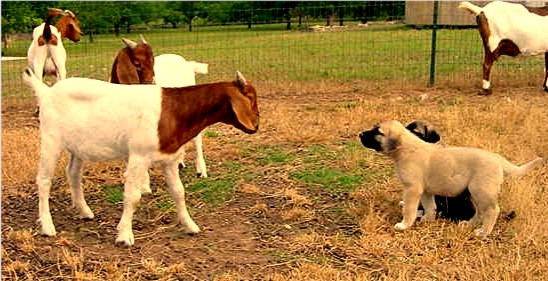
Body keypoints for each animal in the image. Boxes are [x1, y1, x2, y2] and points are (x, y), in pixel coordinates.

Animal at [22, 66, 260, 245]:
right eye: (251, 98)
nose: (256, 125)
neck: (174, 111)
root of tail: (46, 92)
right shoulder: (138, 156)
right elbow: (133, 196)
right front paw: (124, 235)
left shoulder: (169, 159)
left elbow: (178, 192)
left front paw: (190, 225)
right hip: (51, 138)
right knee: (44, 180)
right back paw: (47, 226)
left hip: (78, 146)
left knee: (72, 173)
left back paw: (85, 211)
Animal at [360, 119, 544, 235]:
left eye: (378, 132)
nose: (360, 134)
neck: (406, 148)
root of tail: (498, 159)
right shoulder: (426, 191)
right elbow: (430, 206)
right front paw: (427, 219)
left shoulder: (412, 189)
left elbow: (410, 209)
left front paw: (404, 225)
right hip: (473, 192)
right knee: (480, 212)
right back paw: (469, 224)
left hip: (482, 191)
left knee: (492, 211)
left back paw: (483, 232)